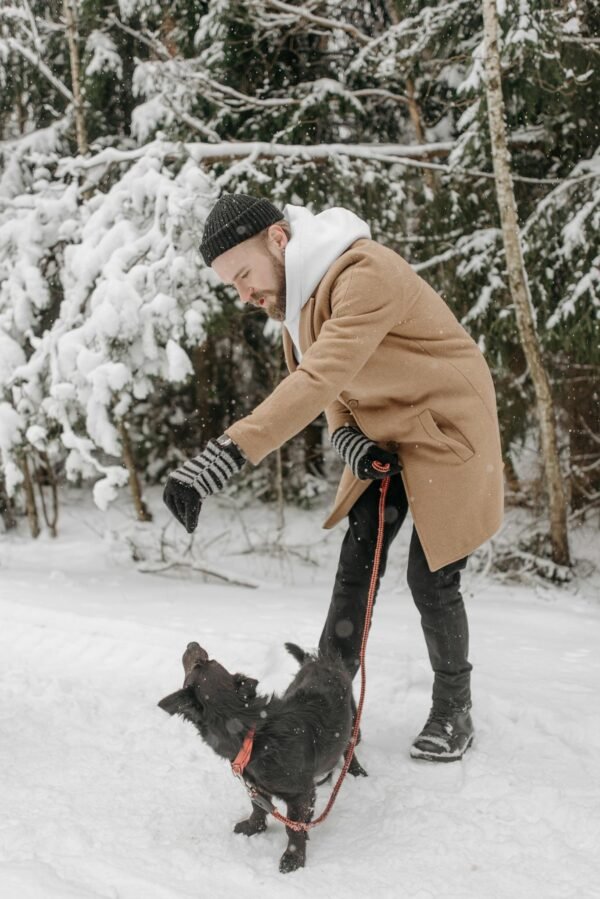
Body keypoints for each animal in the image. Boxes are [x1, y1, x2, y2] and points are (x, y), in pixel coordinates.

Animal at [157, 640, 366, 872]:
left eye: (201, 663)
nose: (191, 643)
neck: (251, 735)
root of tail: (323, 660)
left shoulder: (301, 793)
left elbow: (294, 828)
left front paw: (294, 857)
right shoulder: (255, 786)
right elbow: (257, 807)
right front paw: (253, 827)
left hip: (352, 722)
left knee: (350, 748)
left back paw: (355, 770)